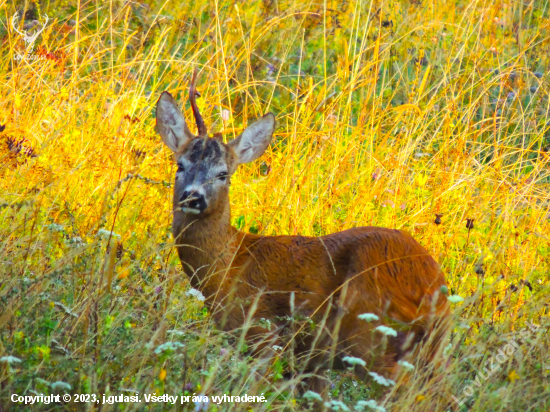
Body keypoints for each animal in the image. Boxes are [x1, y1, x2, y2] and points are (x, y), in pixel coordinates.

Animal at [156, 70, 452, 392]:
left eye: (223, 174)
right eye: (179, 165)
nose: (193, 197)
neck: (232, 264)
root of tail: (432, 284)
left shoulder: (263, 335)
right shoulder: (312, 362)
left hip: (371, 338)